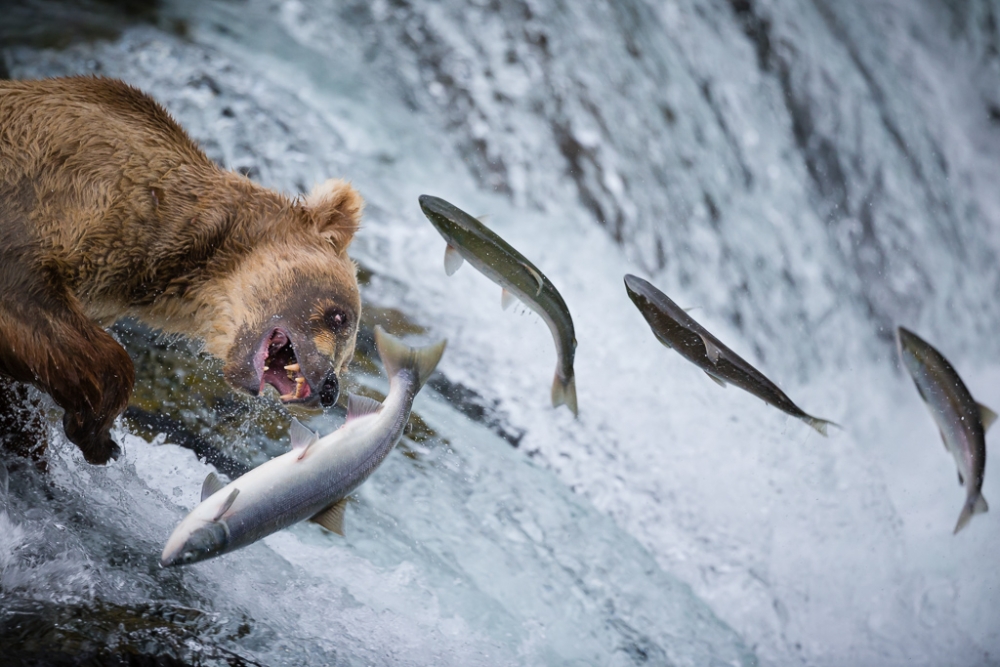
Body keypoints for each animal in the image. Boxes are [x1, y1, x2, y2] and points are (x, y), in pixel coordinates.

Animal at [0, 75, 366, 464]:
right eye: (339, 316)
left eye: (347, 362)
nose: (329, 388)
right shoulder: (61, 184)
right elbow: (27, 288)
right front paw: (99, 437)